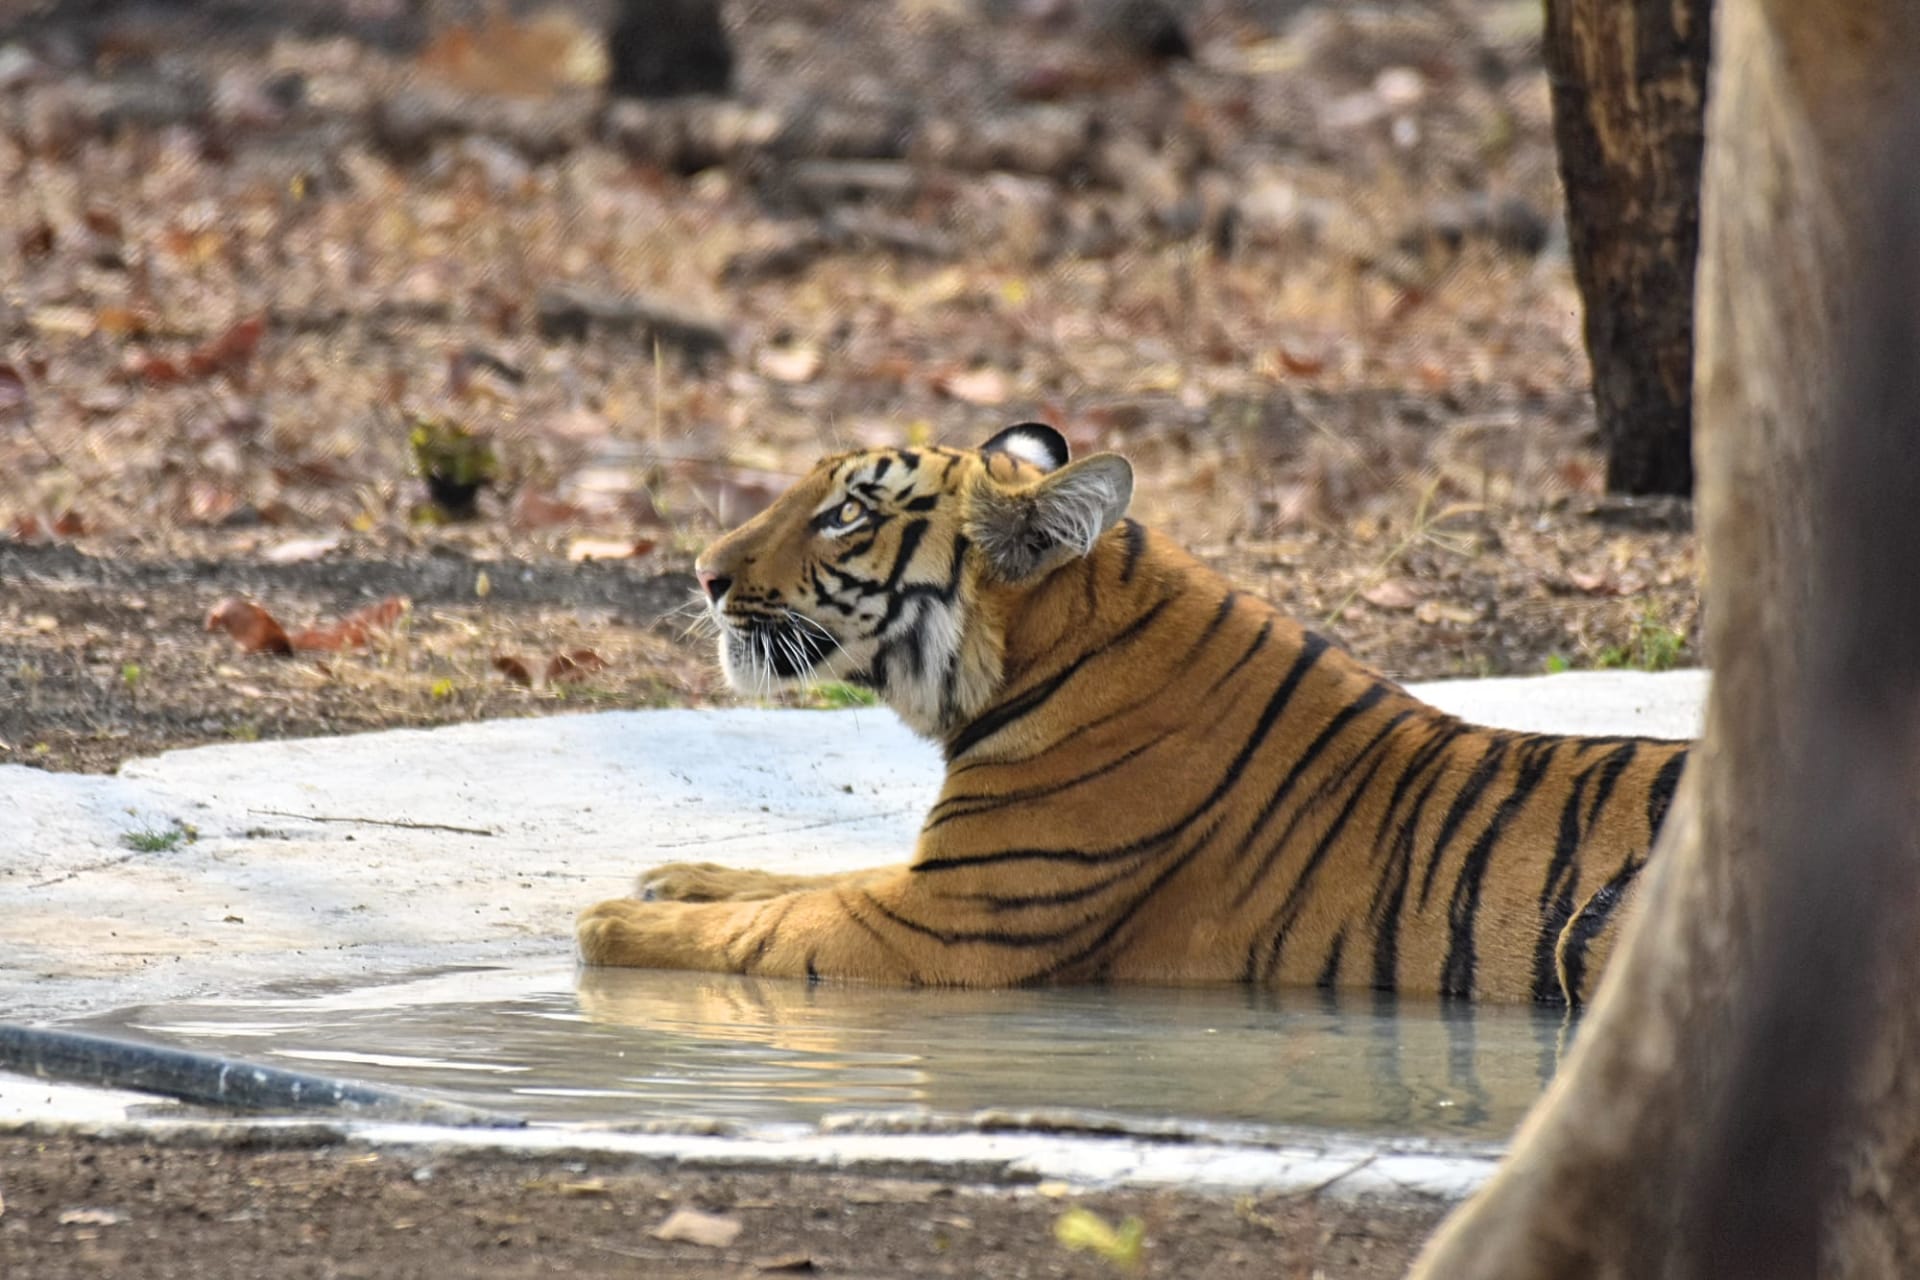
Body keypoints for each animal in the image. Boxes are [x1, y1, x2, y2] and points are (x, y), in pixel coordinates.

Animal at [577, 423, 1689, 1004]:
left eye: (846, 511)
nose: (704, 573)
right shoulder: (935, 872)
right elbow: (794, 876)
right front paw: (679, 878)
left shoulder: (942, 918)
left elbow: (768, 924)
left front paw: (614, 920)